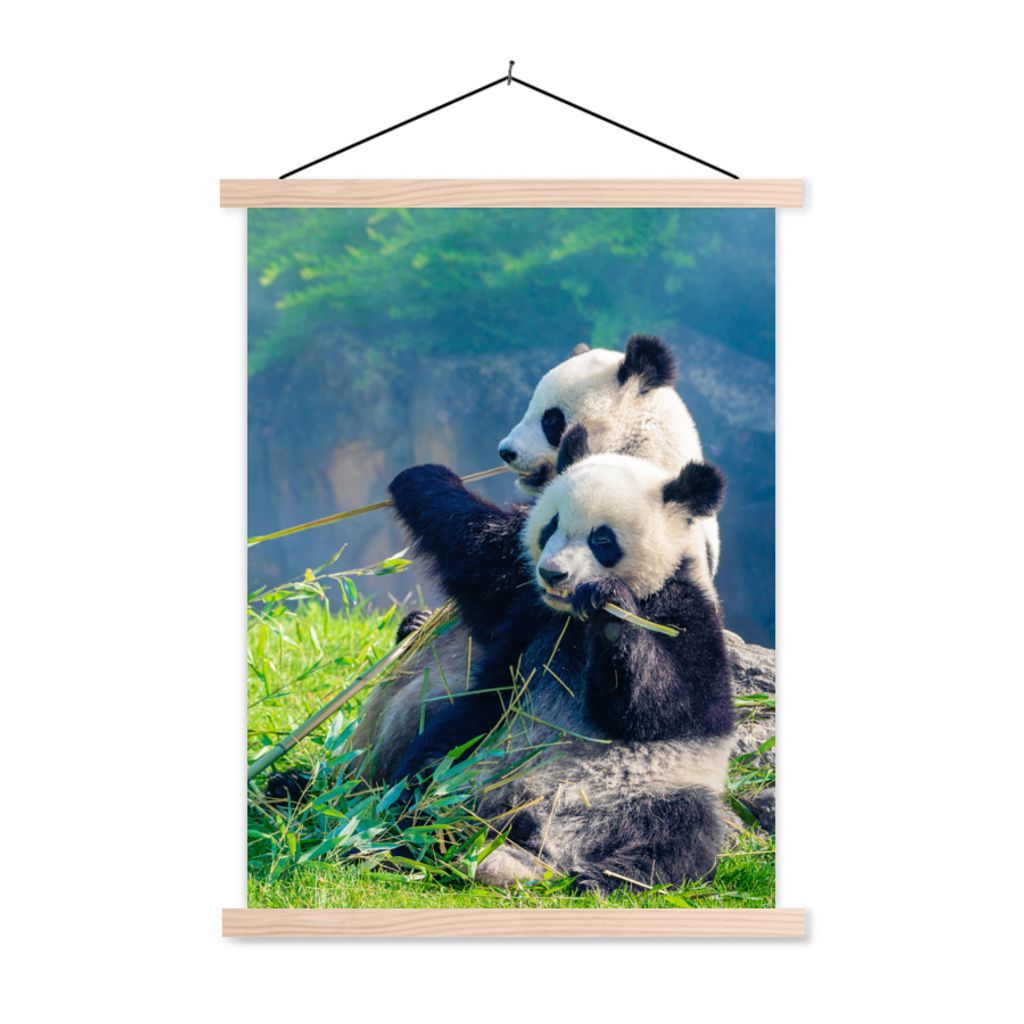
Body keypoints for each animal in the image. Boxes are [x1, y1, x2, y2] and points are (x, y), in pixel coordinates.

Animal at [384, 426, 734, 892]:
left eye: (602, 540)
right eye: (550, 525)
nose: (553, 574)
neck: (572, 619)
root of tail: (544, 838)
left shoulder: (687, 613)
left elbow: (667, 708)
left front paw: (608, 607)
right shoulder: (529, 610)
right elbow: (481, 559)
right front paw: (422, 478)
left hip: (655, 788)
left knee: (683, 833)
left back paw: (603, 877)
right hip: (477, 749)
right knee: (428, 769)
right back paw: (404, 833)